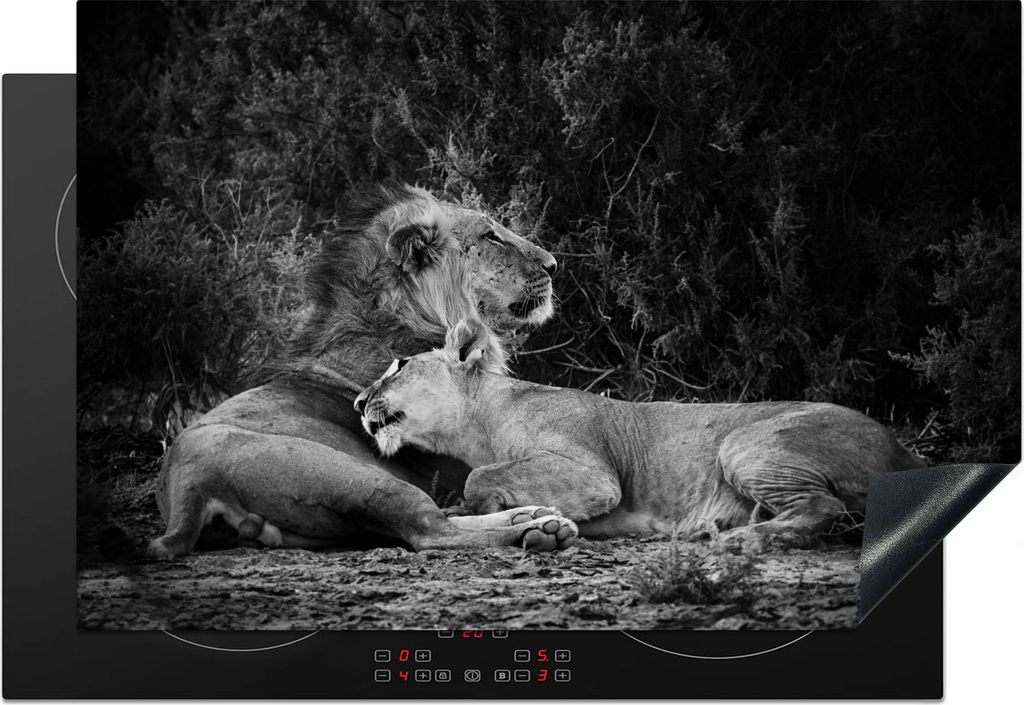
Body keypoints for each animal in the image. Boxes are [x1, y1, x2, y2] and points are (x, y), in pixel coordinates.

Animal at [150, 185, 578, 558]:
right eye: (491, 236)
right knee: (430, 530)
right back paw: (537, 529)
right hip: (360, 477)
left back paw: (531, 515)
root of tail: (188, 483)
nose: (553, 265)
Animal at [354, 319, 926, 545]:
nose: (358, 403)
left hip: (744, 444)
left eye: (398, 364)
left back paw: (733, 539)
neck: (481, 423)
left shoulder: (594, 475)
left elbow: (481, 479)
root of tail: (907, 453)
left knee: (823, 506)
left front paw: (502, 508)